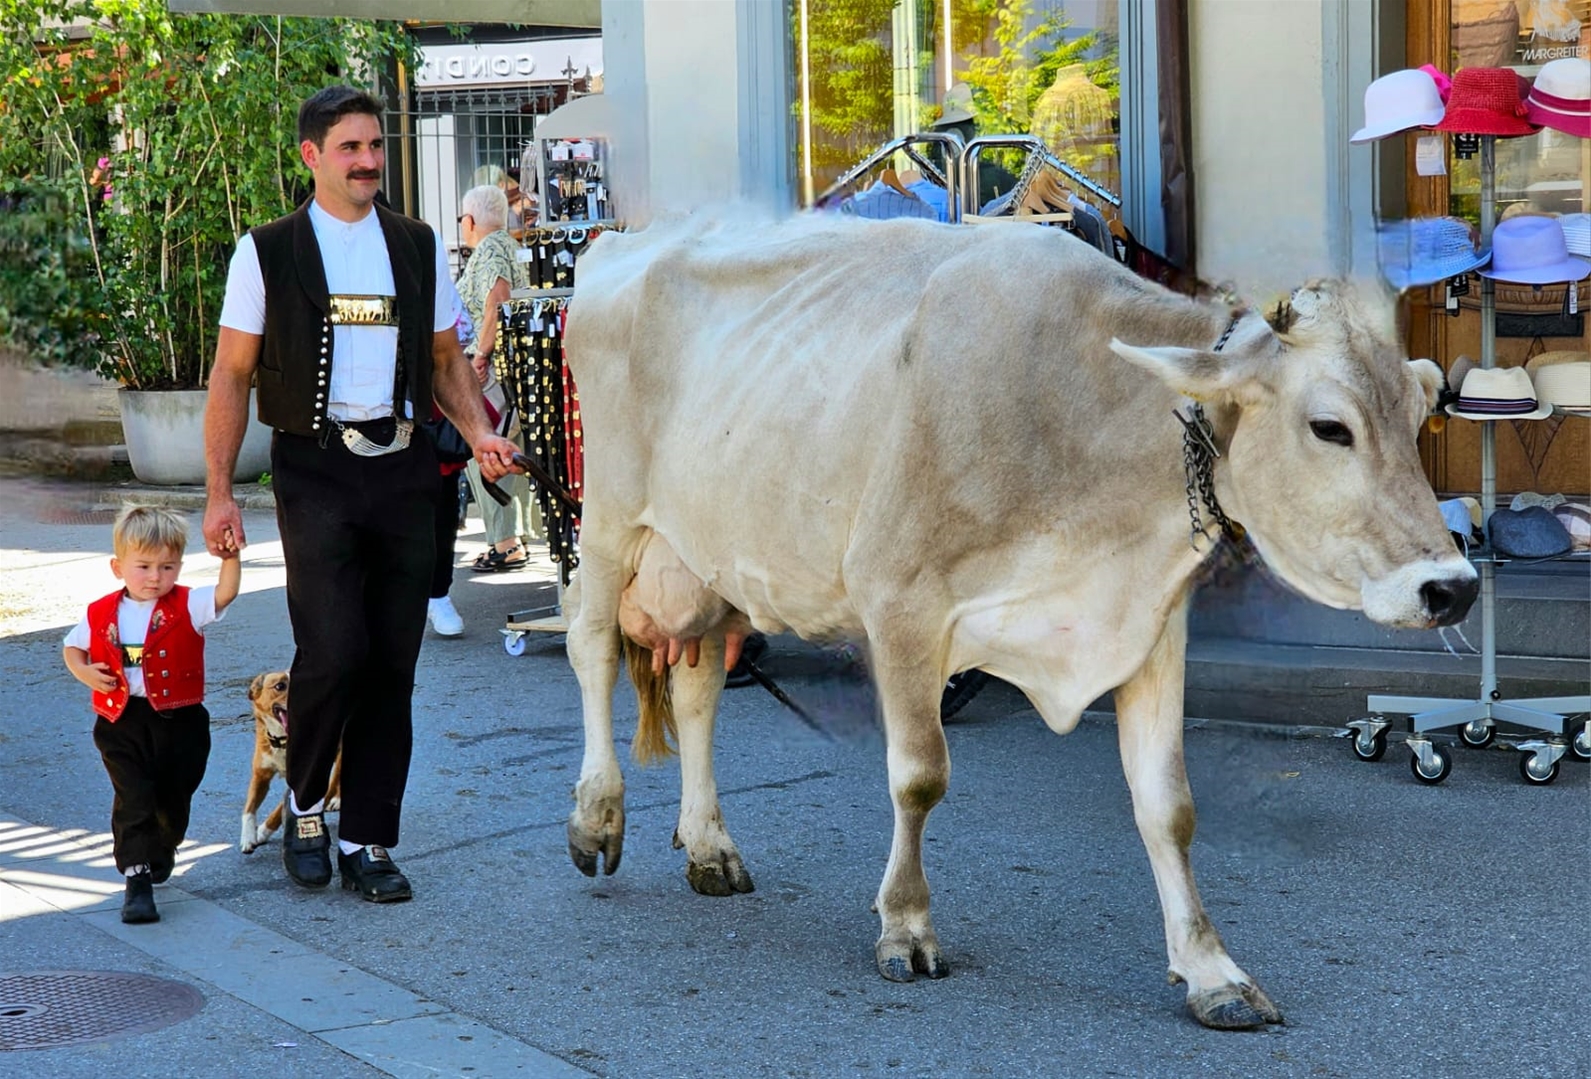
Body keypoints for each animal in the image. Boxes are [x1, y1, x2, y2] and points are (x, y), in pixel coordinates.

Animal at [559, 210, 1477, 1029]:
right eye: (1329, 426)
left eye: (1418, 413)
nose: (1452, 586)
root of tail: (624, 240)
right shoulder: (898, 598)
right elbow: (919, 774)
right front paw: (905, 926)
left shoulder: (1147, 622)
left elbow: (1167, 804)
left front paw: (1211, 971)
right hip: (607, 521)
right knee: (592, 646)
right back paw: (595, 815)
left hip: (707, 558)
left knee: (697, 689)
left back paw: (709, 846)